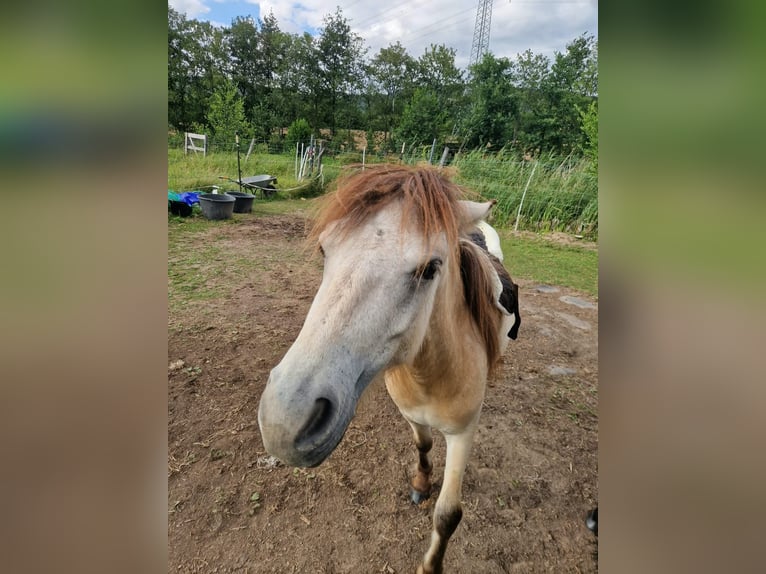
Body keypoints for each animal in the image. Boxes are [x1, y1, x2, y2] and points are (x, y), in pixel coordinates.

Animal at [258, 165, 521, 573]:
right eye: (324, 250)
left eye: (430, 268)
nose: (283, 422)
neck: (430, 376)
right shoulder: (412, 415)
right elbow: (423, 445)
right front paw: (420, 483)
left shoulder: (463, 434)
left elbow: (448, 514)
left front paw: (431, 565)